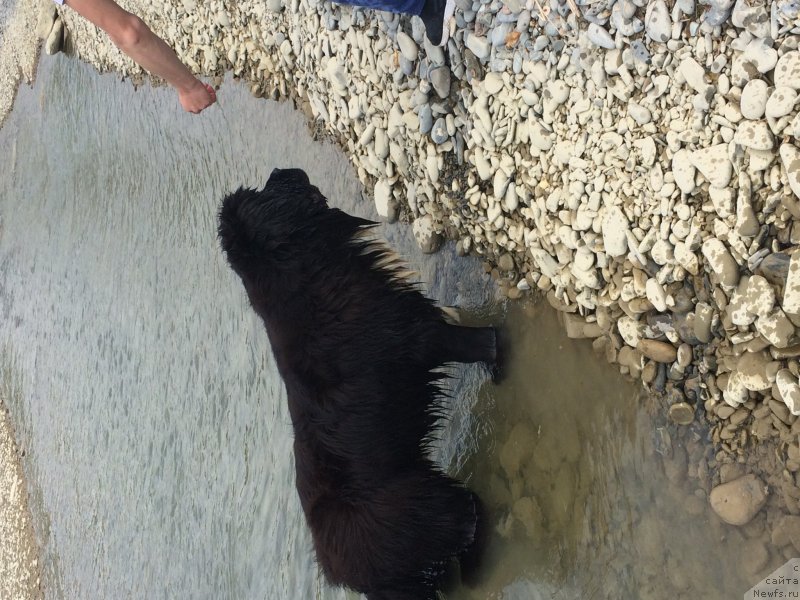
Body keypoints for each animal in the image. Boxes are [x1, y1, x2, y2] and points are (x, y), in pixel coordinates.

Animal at [216, 169, 496, 600]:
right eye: (269, 190)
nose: (283, 170)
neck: (305, 276)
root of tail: (353, 577)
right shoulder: (419, 336)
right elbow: (475, 341)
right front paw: (498, 350)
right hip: (435, 507)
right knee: (471, 515)